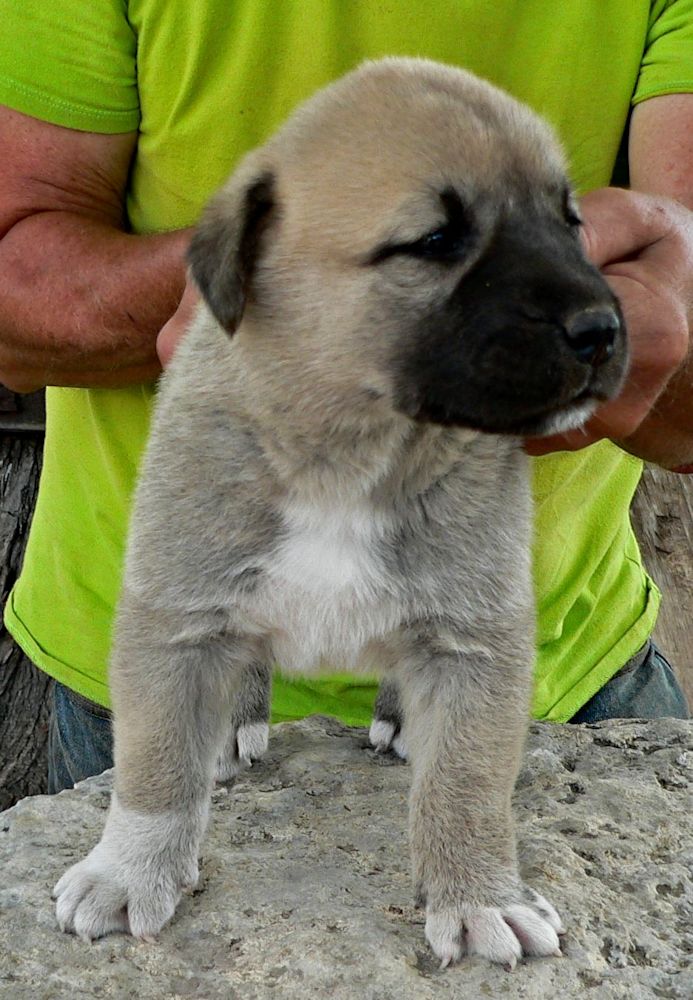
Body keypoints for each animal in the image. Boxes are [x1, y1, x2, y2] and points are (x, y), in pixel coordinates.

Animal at [54, 58, 628, 964]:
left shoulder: (476, 639)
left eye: (570, 220)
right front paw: (127, 873)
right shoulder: (175, 616)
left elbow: (467, 783)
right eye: (435, 243)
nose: (600, 329)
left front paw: (478, 894)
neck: (352, 453)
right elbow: (154, 769)